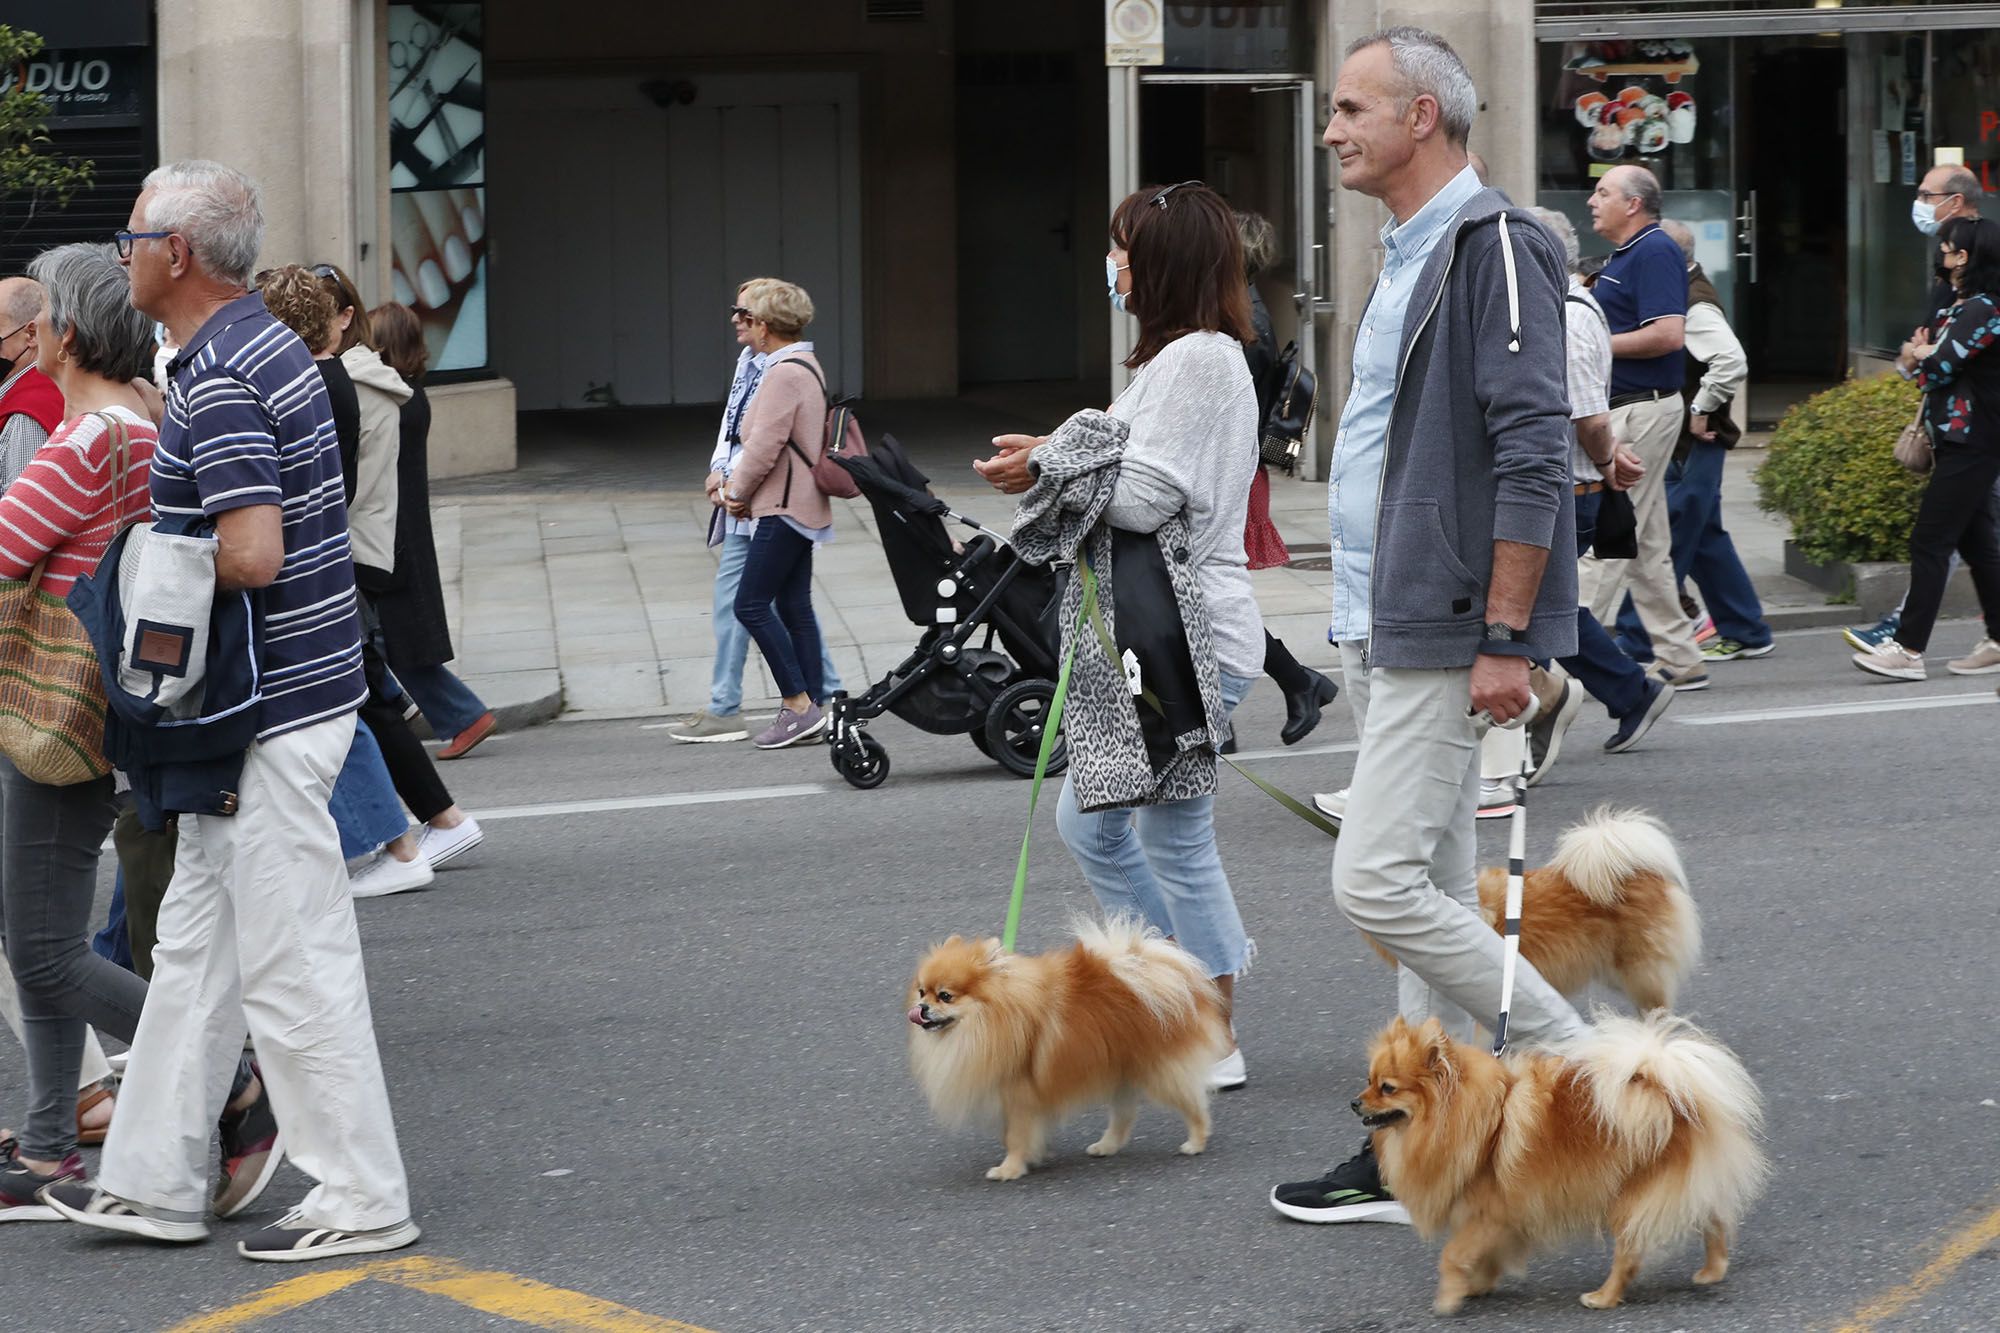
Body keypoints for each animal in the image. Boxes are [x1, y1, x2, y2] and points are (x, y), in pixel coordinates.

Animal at [912, 920, 1224, 1176]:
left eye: (945, 996)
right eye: (922, 991)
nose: (922, 1008)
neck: (990, 1019)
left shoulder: (1019, 1094)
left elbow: (1016, 1135)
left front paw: (1008, 1169)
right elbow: (1016, 1133)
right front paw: (1033, 1155)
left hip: (1160, 1070)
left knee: (1193, 1103)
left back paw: (1196, 1142)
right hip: (1121, 1070)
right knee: (1124, 1114)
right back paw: (1106, 1145)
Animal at [1360, 1008, 1768, 1304]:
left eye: (1387, 1088)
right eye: (1368, 1080)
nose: (1354, 1102)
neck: (1484, 1120)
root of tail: (1673, 1097)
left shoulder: (1490, 1212)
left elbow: (1451, 1255)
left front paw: (1448, 1299)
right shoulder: (1499, 1221)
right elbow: (1484, 1257)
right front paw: (1476, 1285)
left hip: (1631, 1199)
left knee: (1630, 1255)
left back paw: (1602, 1297)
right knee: (1712, 1219)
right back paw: (1713, 1270)